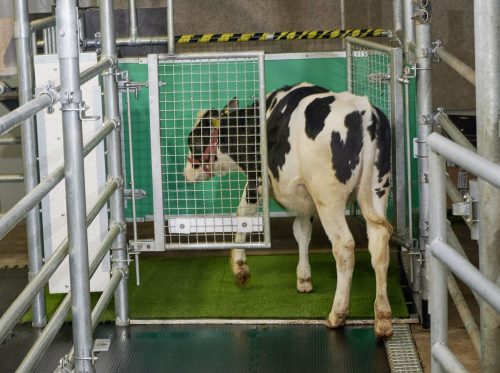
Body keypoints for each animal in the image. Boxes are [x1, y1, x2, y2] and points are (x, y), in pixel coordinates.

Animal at [184, 82, 394, 338]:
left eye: (194, 140)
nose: (186, 172)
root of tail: (364, 111)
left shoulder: (256, 180)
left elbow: (243, 214)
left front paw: (239, 267)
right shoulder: (303, 198)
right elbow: (301, 231)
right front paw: (304, 279)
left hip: (328, 197)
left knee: (344, 247)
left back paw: (337, 313)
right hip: (377, 189)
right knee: (379, 244)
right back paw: (382, 317)